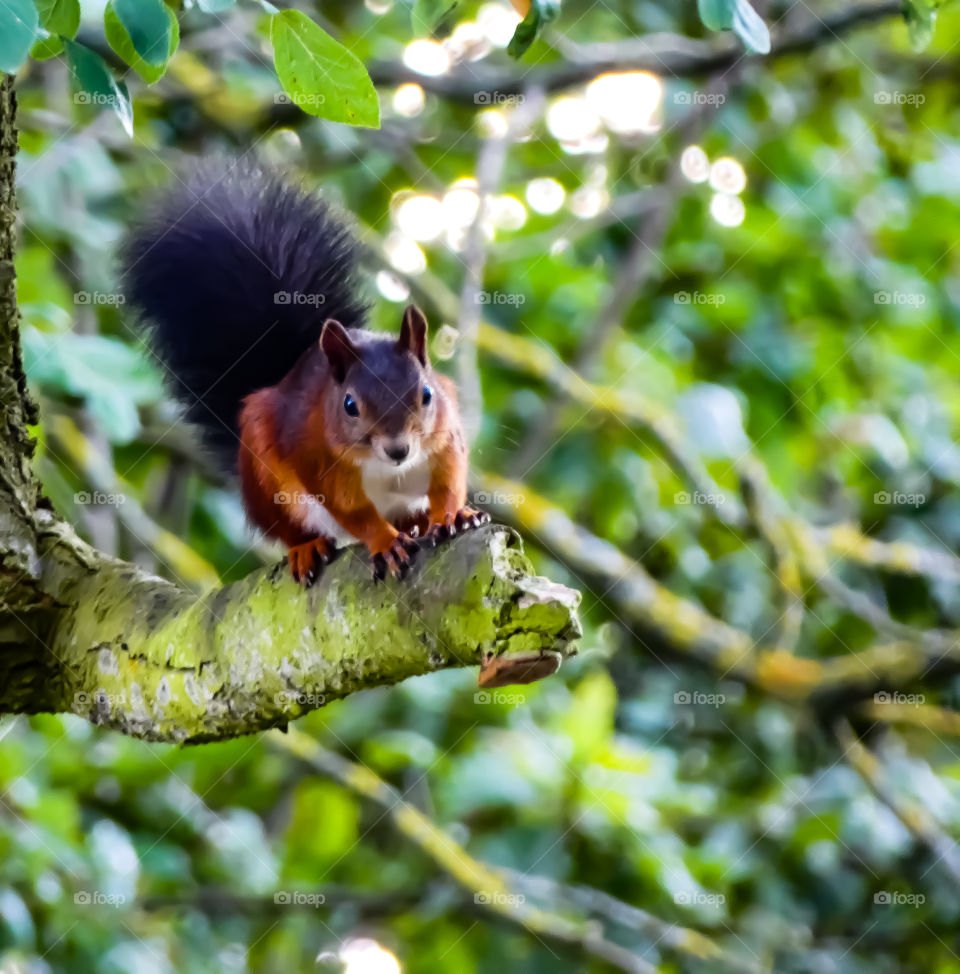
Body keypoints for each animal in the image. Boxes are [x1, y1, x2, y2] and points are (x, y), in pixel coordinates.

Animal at [122, 161, 489, 585]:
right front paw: (384, 541)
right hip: (267, 484)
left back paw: (420, 522)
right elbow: (353, 511)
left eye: (427, 395)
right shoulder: (318, 459)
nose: (398, 449)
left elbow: (449, 480)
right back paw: (307, 547)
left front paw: (453, 514)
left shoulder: (444, 438)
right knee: (294, 528)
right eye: (350, 405)